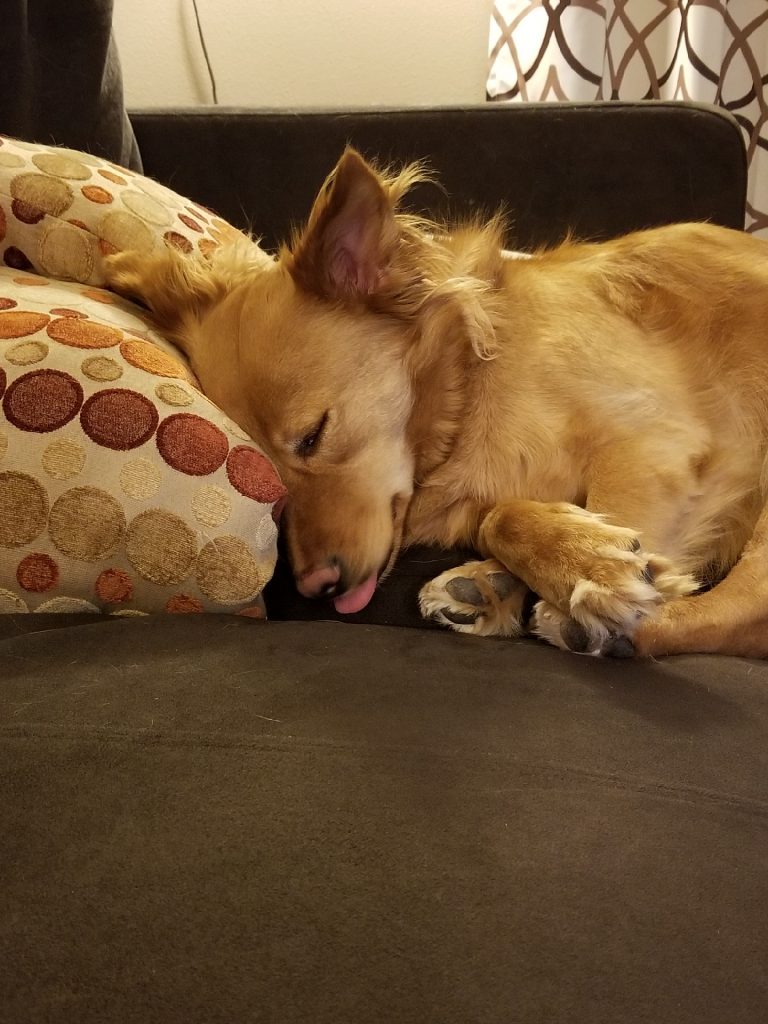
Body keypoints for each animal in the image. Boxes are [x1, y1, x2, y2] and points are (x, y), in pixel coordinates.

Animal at [106, 147, 768, 659]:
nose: (316, 586)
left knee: (743, 610)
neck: (470, 395)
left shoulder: (650, 441)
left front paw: (592, 571)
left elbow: (543, 517)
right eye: (269, 476)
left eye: (314, 435)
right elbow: (502, 516)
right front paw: (535, 568)